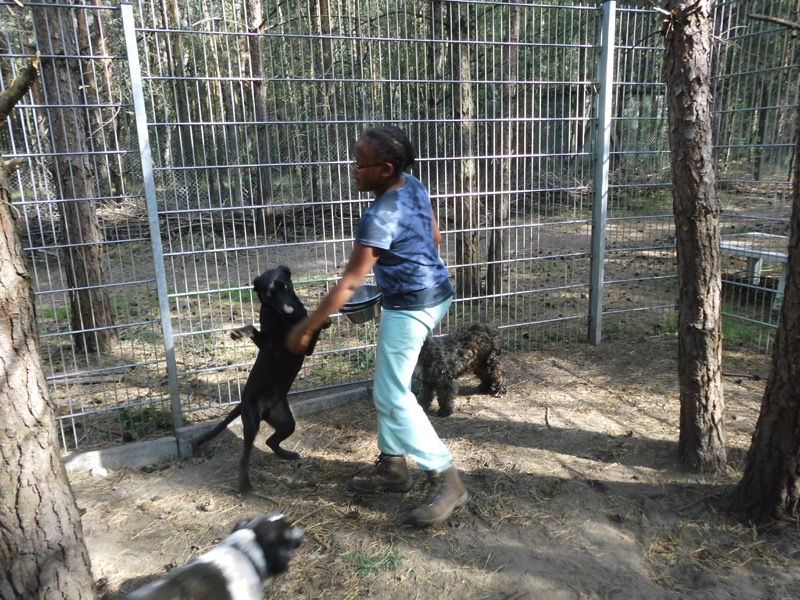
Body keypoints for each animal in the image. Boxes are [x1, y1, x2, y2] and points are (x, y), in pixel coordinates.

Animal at [191, 265, 327, 492]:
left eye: (285, 286)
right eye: (270, 294)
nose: (289, 310)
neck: (283, 319)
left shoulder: (305, 347)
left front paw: (324, 320)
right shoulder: (270, 346)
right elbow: (252, 328)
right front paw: (239, 333)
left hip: (286, 422)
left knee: (270, 442)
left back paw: (287, 455)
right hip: (252, 422)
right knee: (244, 456)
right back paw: (244, 484)